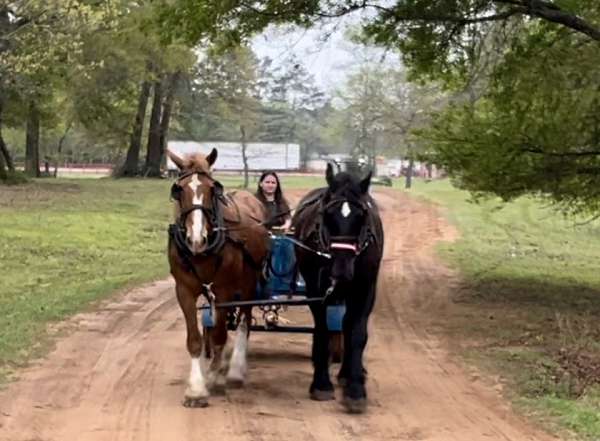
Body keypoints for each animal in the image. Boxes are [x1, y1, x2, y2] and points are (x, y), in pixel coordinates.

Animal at [164, 148, 268, 406]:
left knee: (243, 323)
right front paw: (196, 389)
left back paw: (235, 370)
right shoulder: (184, 290)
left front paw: (215, 377)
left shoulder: (224, 291)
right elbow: (195, 340)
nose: (196, 239)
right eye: (178, 190)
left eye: (214, 189)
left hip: (248, 286)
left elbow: (221, 335)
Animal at [292, 162, 384, 412]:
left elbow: (357, 334)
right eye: (327, 214)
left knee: (348, 325)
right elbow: (322, 331)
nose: (341, 269)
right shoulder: (315, 290)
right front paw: (321, 384)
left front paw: (355, 389)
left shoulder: (365, 288)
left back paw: (348, 373)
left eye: (362, 215)